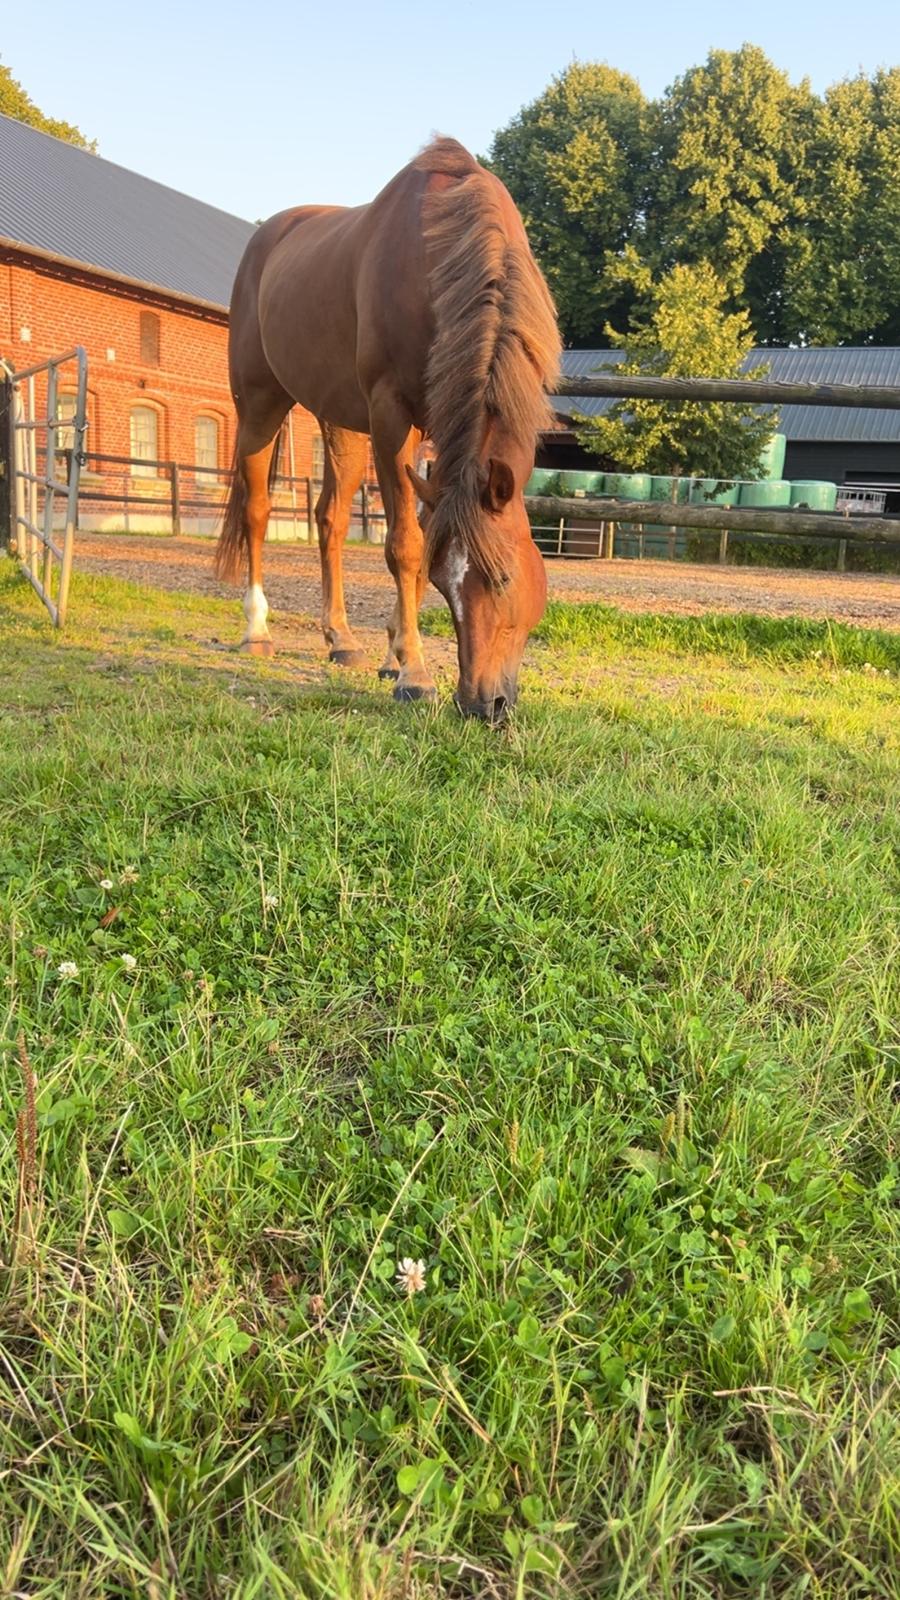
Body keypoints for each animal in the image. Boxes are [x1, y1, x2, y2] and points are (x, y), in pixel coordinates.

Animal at [216, 140, 554, 723]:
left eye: (506, 578)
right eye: (448, 585)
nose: (481, 704)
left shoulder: (433, 431)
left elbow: (417, 536)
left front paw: (394, 656)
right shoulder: (391, 414)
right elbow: (405, 545)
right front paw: (414, 674)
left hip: (342, 427)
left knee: (329, 519)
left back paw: (341, 639)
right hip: (259, 405)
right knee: (257, 512)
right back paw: (257, 630)